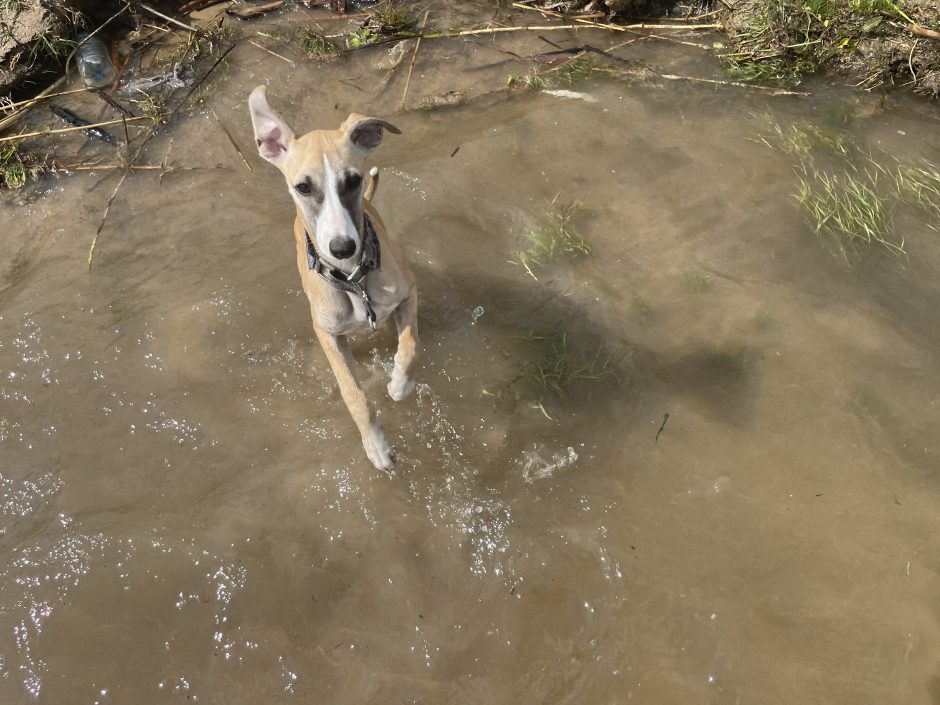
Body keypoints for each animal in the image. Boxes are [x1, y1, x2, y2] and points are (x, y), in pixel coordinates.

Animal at [248, 86, 416, 472]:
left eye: (353, 180)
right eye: (303, 187)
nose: (342, 247)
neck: (354, 280)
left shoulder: (409, 292)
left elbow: (410, 346)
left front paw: (399, 385)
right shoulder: (327, 333)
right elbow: (353, 393)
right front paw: (376, 445)